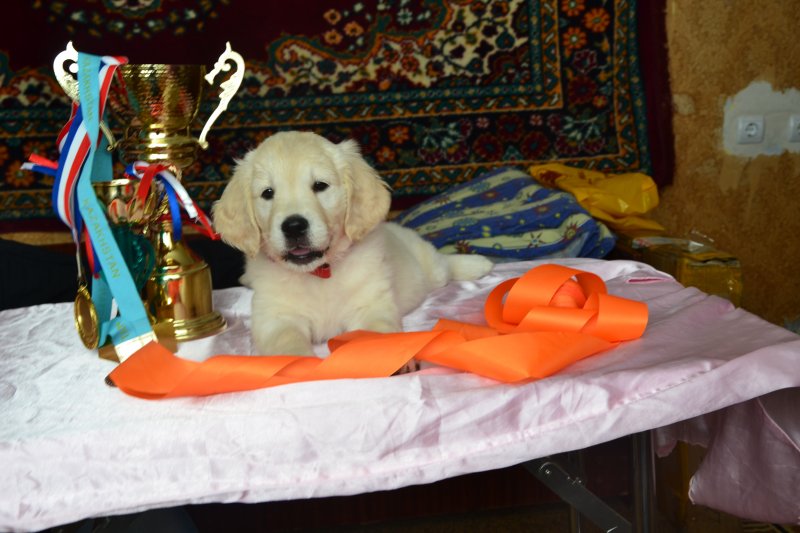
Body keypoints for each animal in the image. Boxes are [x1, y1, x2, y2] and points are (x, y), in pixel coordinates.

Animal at [212, 131, 493, 356]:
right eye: (268, 193)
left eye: (320, 185)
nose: (293, 226)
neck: (320, 273)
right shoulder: (275, 317)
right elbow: (286, 342)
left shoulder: (370, 305)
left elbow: (376, 334)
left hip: (428, 265)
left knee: (444, 264)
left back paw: (478, 263)